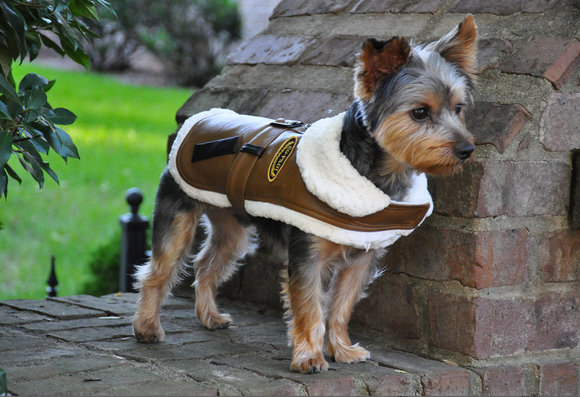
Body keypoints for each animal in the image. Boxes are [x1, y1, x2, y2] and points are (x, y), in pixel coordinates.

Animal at [134, 15, 478, 372]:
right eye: (420, 112)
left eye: (459, 108)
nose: (467, 150)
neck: (374, 173)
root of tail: (201, 119)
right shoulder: (307, 256)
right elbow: (310, 307)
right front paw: (310, 356)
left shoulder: (362, 257)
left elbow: (341, 306)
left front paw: (342, 350)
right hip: (178, 212)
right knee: (157, 271)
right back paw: (147, 327)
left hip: (231, 223)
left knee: (206, 264)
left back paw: (209, 317)